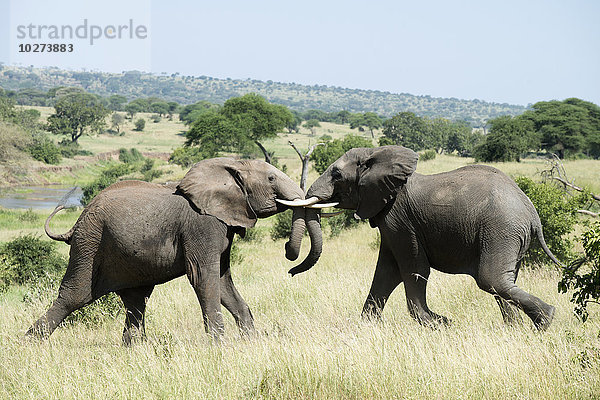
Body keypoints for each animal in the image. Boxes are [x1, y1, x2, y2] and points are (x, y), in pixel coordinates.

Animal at [29, 157, 324, 344]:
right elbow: (203, 277)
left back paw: (135, 350)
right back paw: (30, 344)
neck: (232, 166)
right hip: (89, 243)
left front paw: (251, 342)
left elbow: (222, 279)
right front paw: (219, 346)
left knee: (136, 301)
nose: (288, 255)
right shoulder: (201, 224)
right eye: (271, 178)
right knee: (74, 297)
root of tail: (76, 223)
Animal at [290, 146, 564, 332]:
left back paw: (546, 321)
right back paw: (516, 329)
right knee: (503, 281)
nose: (291, 271)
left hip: (501, 230)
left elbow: (413, 269)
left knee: (490, 279)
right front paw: (367, 327)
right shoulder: (389, 220)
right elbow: (385, 272)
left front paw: (442, 324)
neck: (378, 157)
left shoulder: (399, 218)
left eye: (336, 174)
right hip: (509, 235)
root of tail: (533, 213)